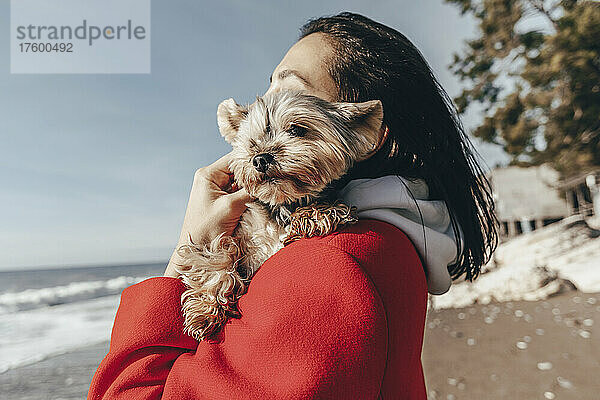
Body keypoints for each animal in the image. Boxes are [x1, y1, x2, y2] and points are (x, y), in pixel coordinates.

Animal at [173, 90, 384, 340]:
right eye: (251, 143)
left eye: (296, 130)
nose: (260, 158)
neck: (282, 205)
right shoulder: (233, 229)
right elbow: (218, 256)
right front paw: (205, 310)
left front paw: (315, 215)